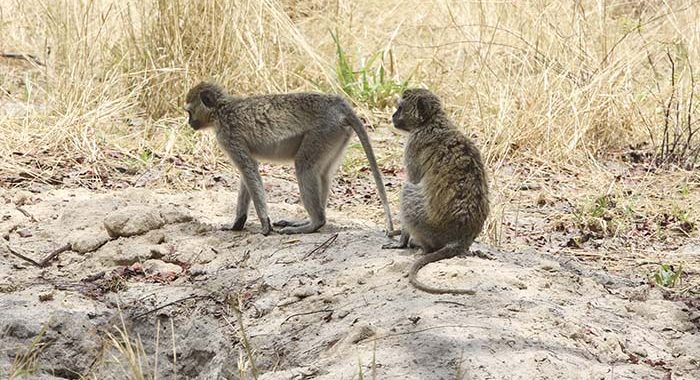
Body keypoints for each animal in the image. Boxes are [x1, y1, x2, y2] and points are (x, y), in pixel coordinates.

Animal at [185, 81, 394, 235]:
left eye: (189, 111)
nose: (189, 123)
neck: (221, 110)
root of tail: (337, 104)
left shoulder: (228, 136)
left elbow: (248, 170)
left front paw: (264, 225)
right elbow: (248, 173)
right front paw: (237, 224)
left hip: (324, 131)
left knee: (304, 167)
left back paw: (314, 223)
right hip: (338, 135)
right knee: (323, 174)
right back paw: (312, 220)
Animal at [386, 88, 490, 294]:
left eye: (400, 108)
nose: (393, 116)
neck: (433, 121)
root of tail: (460, 239)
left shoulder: (412, 145)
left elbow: (412, 180)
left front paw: (401, 240)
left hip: (429, 227)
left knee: (407, 189)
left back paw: (419, 245)